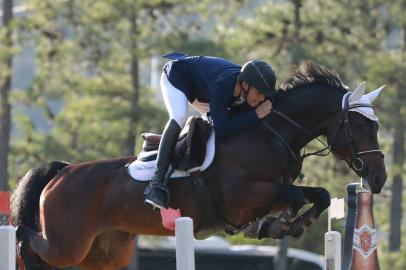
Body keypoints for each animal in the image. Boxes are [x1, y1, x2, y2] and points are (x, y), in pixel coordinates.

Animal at [11, 61, 386, 270]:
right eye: (360, 125)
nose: (379, 178)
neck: (270, 133)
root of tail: (62, 173)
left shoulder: (275, 187)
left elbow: (318, 194)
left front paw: (291, 225)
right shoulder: (243, 197)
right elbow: (293, 198)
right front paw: (275, 225)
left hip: (102, 252)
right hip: (67, 244)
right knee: (25, 238)